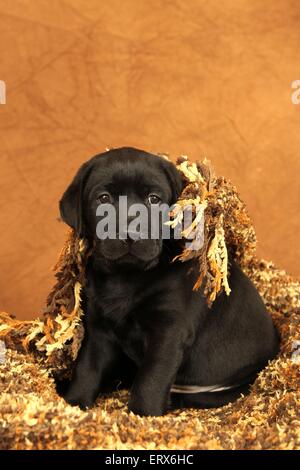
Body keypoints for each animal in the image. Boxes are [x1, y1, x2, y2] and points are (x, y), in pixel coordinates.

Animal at [58, 146, 278, 414]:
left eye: (154, 199)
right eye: (103, 198)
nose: (130, 234)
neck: (126, 277)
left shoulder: (169, 331)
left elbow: (151, 379)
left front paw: (142, 415)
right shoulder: (98, 329)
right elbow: (87, 368)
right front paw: (73, 403)